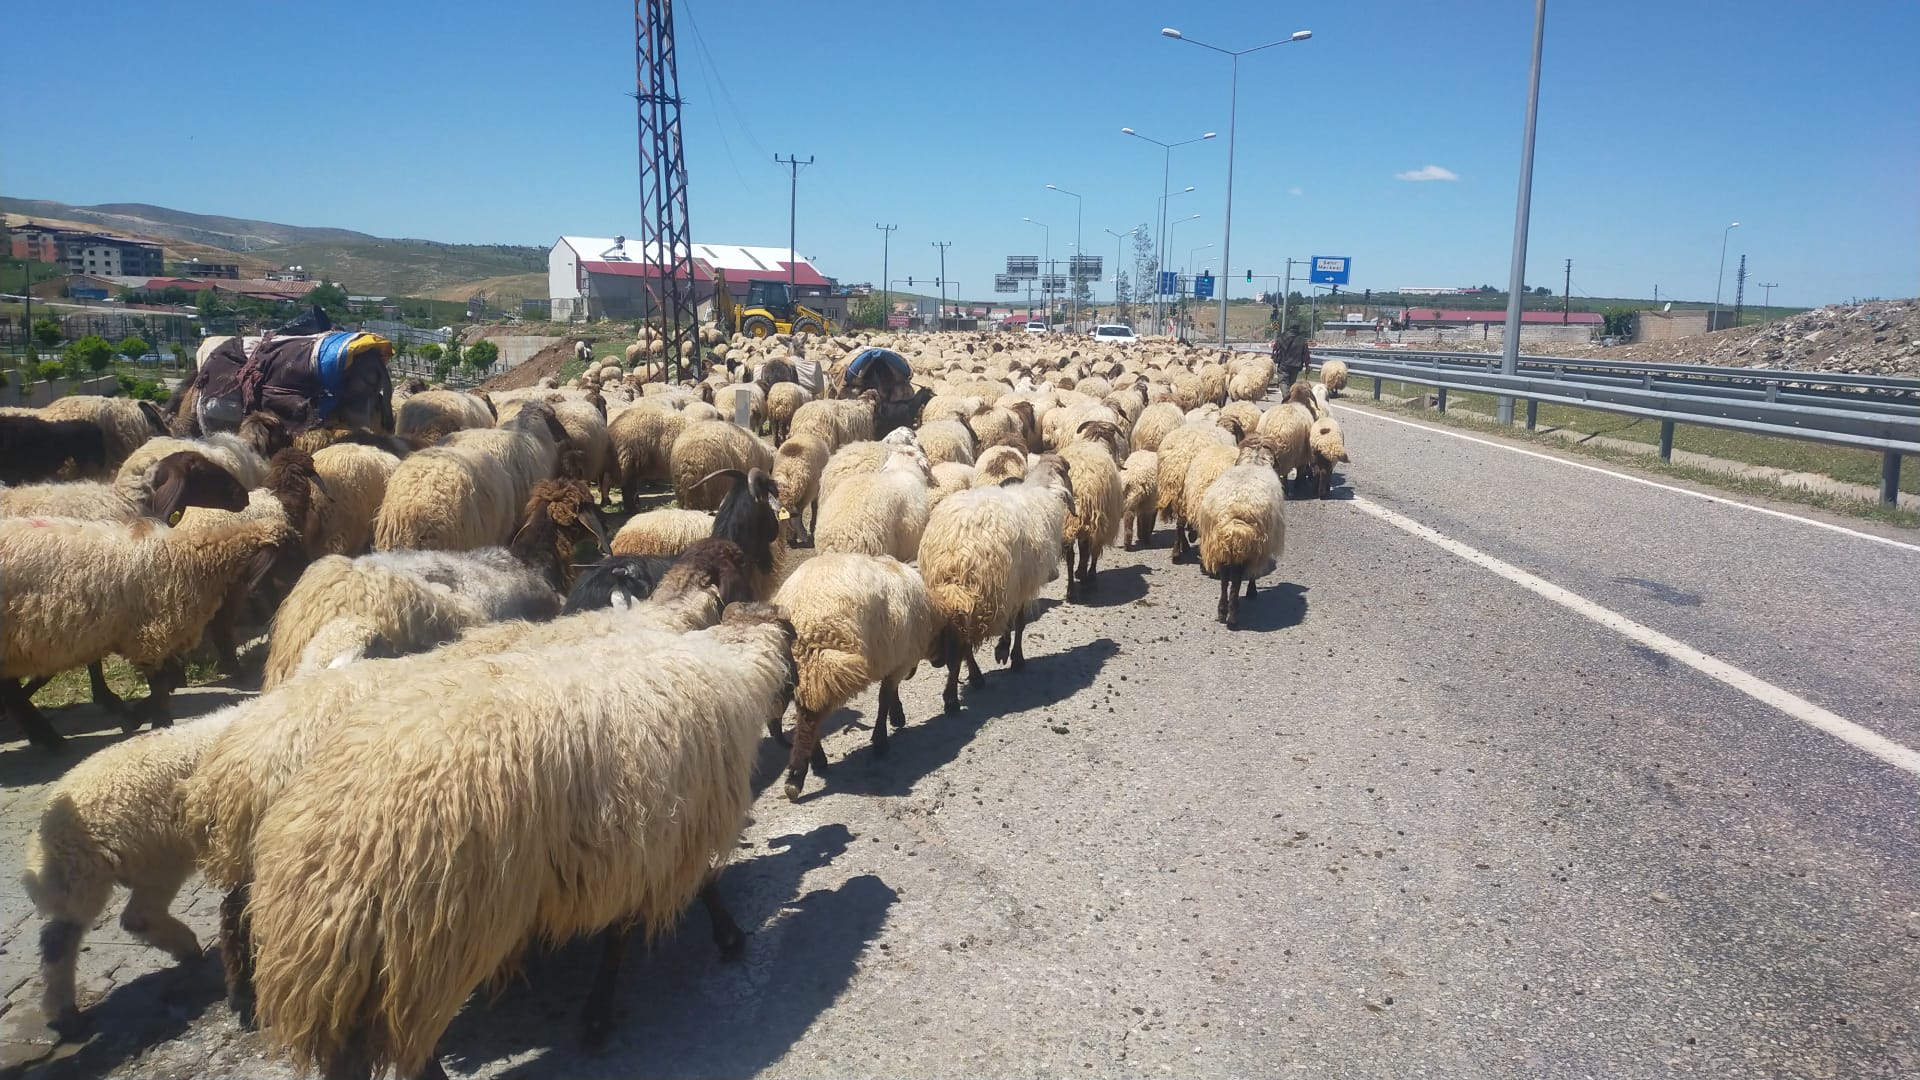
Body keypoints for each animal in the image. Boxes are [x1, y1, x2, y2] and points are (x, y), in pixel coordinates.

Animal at [1, 507, 297, 745]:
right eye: (290, 548)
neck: (191, 559)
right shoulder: (150, 635)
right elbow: (161, 684)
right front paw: (158, 722)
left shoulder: (159, 638)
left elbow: (167, 682)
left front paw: (137, 717)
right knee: (12, 692)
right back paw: (48, 738)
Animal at [23, 707, 243, 1022]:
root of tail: (48, 833)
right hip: (123, 864)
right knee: (71, 934)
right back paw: (63, 1007)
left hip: (127, 866)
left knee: (129, 918)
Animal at [240, 599, 794, 1068]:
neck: (731, 665)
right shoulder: (661, 835)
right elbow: (687, 894)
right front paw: (725, 938)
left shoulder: (633, 847)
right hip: (431, 946)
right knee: (408, 1052)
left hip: (360, 963)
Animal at [771, 549, 936, 795]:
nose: (912, 673)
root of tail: (803, 618)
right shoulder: (900, 659)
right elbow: (885, 698)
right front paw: (882, 739)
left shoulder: (891, 657)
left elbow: (889, 694)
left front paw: (895, 717)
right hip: (824, 663)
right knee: (810, 717)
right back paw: (798, 775)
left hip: (805, 670)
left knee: (805, 712)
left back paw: (810, 763)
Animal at [1198, 434, 1290, 626]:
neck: (1254, 461)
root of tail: (1234, 517)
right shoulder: (1260, 547)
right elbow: (1252, 574)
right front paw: (1252, 592)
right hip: (1249, 544)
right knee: (1237, 580)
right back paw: (1233, 614)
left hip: (1222, 544)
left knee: (1225, 579)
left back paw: (1222, 611)